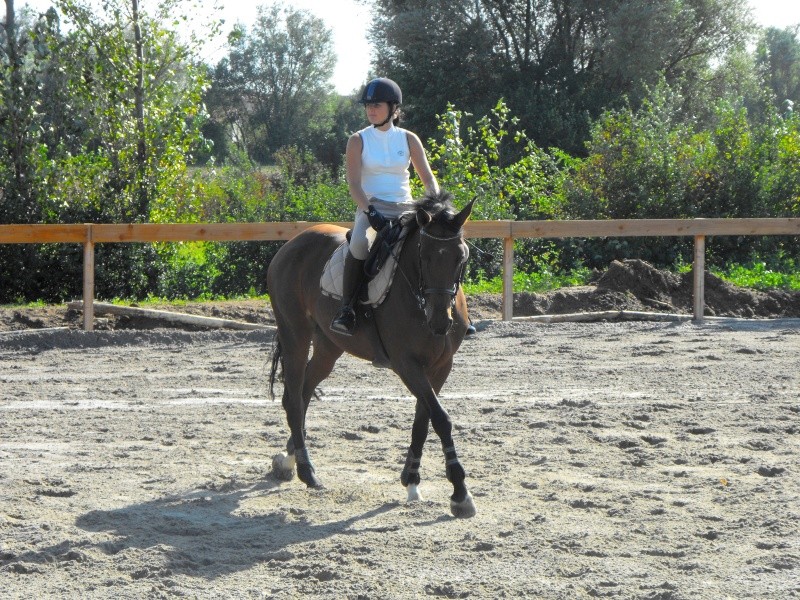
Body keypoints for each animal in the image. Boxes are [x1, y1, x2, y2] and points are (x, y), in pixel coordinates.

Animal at [266, 191, 478, 516]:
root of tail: (292, 243)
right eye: (424, 257)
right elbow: (440, 418)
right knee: (293, 399)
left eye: (460, 258)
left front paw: (411, 480)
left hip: (329, 347)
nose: (441, 322)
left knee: (304, 393)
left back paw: (289, 460)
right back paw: (307, 472)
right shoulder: (406, 364)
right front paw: (460, 493)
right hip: (295, 335)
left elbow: (423, 419)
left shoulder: (441, 366)